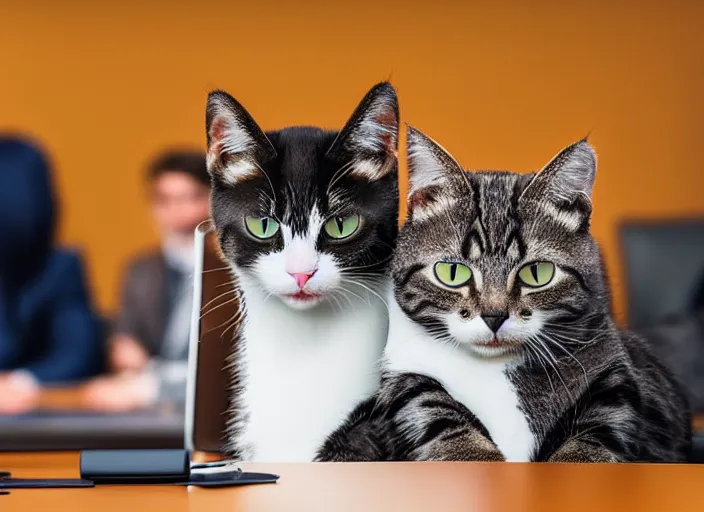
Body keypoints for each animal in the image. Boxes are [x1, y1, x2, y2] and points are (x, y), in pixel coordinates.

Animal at [324, 126, 692, 462]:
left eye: (537, 273)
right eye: (452, 273)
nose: (494, 315)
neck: (495, 369)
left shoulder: (622, 380)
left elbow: (596, 434)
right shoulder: (401, 376)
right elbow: (433, 409)